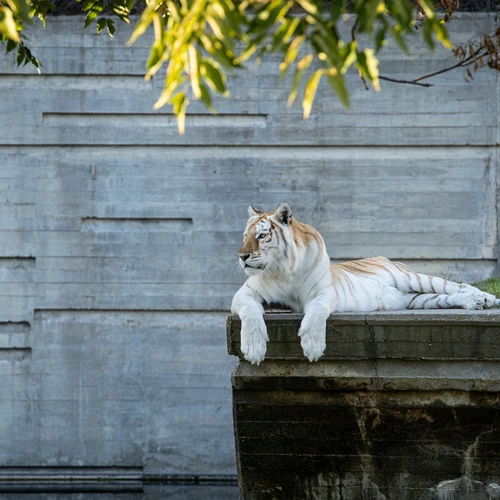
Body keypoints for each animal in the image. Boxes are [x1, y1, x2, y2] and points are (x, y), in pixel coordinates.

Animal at [230, 201, 500, 366]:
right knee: (449, 297)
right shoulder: (245, 294)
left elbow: (315, 313)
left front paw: (313, 346)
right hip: (416, 299)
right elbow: (251, 312)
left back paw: (485, 297)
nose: (242, 256)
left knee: (458, 286)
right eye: (245, 236)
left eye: (262, 236)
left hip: (414, 279)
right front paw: (254, 348)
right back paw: (477, 302)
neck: (285, 270)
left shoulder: (323, 293)